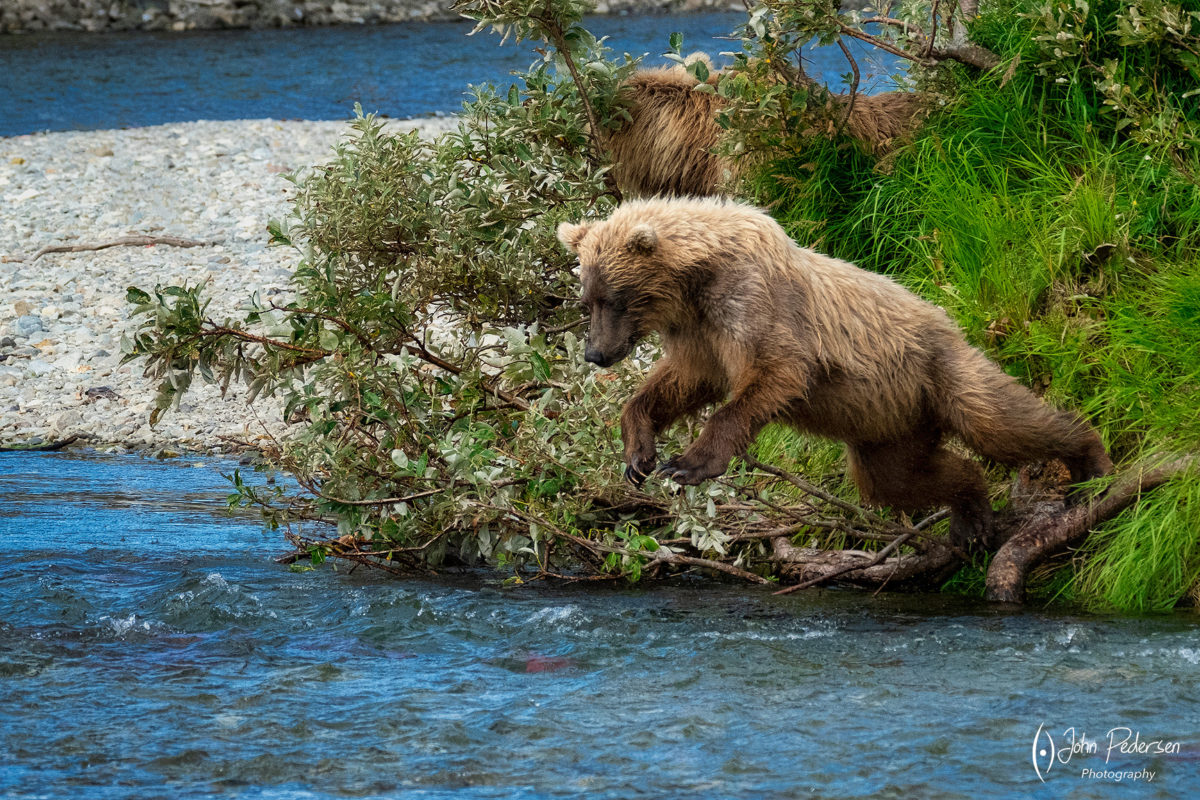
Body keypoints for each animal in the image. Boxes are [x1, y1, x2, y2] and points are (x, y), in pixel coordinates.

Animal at [557, 197, 1112, 549]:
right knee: (898, 480)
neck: (696, 281)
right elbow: (681, 383)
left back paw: (1090, 458)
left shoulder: (755, 304)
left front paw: (688, 463)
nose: (595, 354)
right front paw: (638, 453)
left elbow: (774, 373)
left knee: (997, 420)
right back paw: (971, 515)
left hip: (936, 369)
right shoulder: (701, 335)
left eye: (614, 298)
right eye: (587, 300)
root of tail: (948, 322)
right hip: (889, 421)